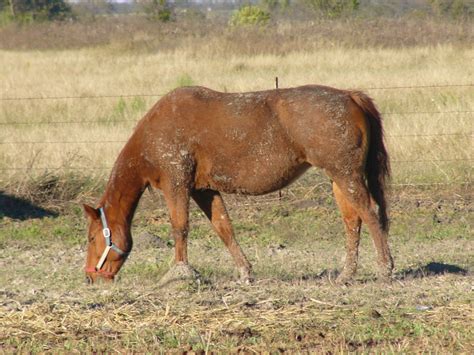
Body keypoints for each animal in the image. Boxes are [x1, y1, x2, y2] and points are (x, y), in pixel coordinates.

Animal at [84, 85, 392, 286]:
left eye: (91, 237)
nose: (90, 276)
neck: (155, 134)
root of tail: (350, 95)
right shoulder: (204, 190)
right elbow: (224, 228)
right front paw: (245, 271)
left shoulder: (177, 185)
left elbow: (180, 227)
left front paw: (179, 273)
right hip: (338, 178)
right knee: (352, 220)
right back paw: (347, 274)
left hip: (347, 175)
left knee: (370, 212)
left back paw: (385, 267)